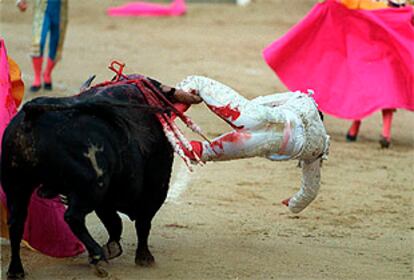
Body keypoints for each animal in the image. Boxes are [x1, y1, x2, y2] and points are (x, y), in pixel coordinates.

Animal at [0, 82, 175, 278]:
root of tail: (32, 114)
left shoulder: (106, 200)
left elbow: (115, 222)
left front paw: (114, 248)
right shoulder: (154, 190)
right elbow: (141, 223)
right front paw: (143, 257)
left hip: (16, 184)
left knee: (16, 222)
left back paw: (15, 270)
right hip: (92, 187)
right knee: (73, 217)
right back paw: (97, 255)